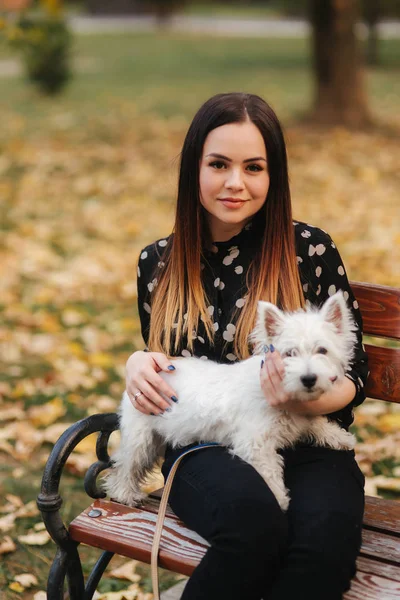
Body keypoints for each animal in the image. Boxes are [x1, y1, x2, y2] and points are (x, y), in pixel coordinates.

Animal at [104, 290, 358, 510]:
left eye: (322, 350)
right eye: (289, 353)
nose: (308, 379)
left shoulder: (300, 416)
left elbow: (316, 421)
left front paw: (340, 437)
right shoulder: (254, 442)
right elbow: (270, 471)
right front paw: (279, 498)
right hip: (141, 437)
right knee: (125, 466)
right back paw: (125, 494)